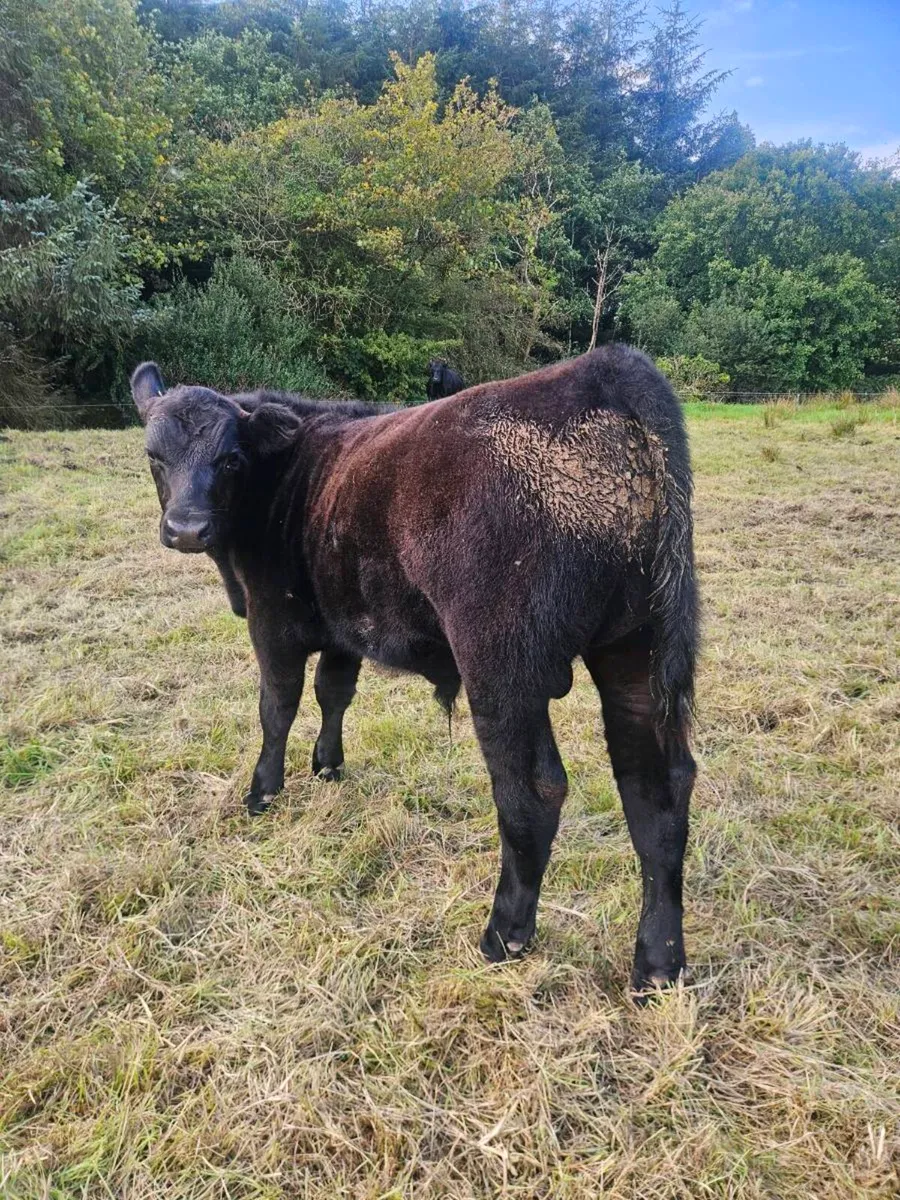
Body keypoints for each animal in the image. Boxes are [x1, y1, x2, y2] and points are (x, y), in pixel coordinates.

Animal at [131, 345, 698, 996]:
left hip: (502, 663)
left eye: (229, 458)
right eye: (154, 456)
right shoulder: (344, 624)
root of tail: (605, 368)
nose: (186, 529)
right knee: (656, 791)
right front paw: (328, 767)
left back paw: (504, 935)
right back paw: (658, 964)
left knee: (532, 790)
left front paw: (262, 792)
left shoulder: (272, 619)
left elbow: (278, 706)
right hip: (638, 650)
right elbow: (334, 692)